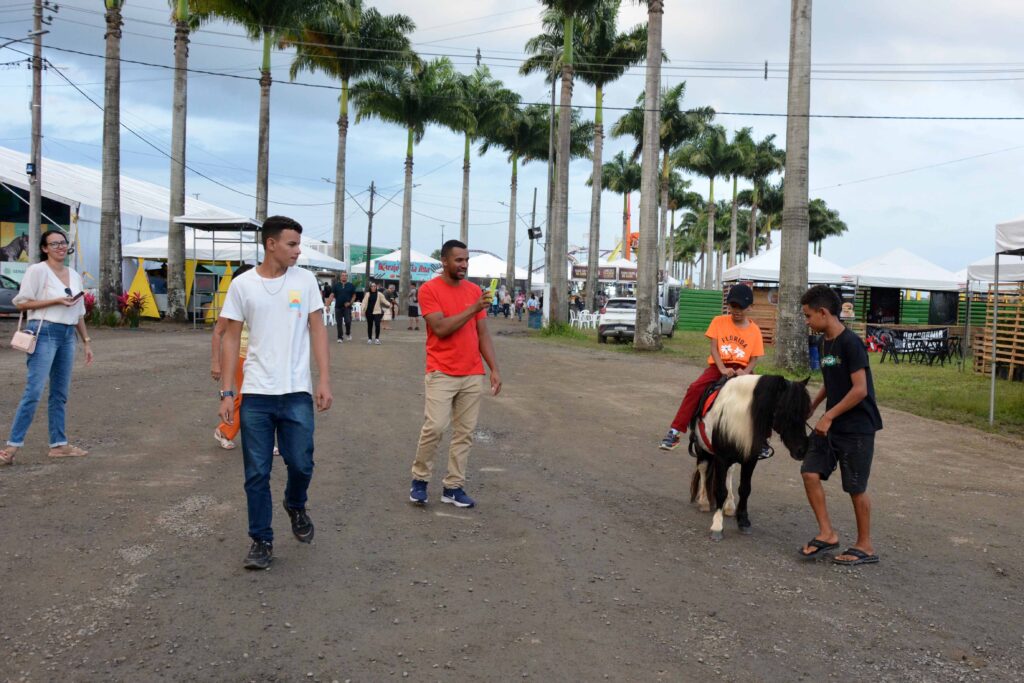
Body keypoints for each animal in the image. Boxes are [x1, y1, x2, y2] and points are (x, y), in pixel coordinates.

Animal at [684, 374, 811, 540]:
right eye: (785, 411)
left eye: (806, 413)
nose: (802, 450)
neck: (738, 416)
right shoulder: (721, 458)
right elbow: (720, 490)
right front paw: (717, 526)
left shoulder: (750, 460)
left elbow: (745, 489)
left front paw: (743, 521)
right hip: (703, 450)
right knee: (704, 470)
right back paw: (704, 501)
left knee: (729, 473)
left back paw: (729, 505)